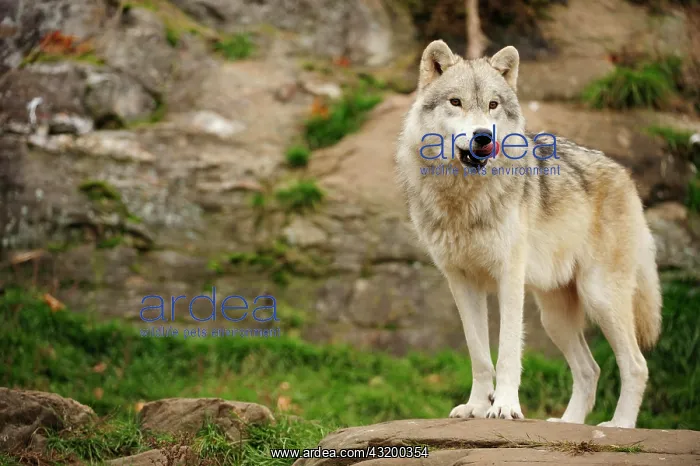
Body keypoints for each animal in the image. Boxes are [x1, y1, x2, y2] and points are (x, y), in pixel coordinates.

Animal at [395, 40, 662, 428]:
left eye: (493, 104)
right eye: (456, 102)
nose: (483, 137)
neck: (463, 199)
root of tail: (624, 175)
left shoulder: (508, 278)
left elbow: (507, 352)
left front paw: (505, 408)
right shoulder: (461, 282)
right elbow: (479, 355)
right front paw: (477, 407)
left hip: (600, 297)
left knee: (636, 365)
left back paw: (620, 427)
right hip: (554, 317)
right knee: (590, 370)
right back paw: (567, 424)